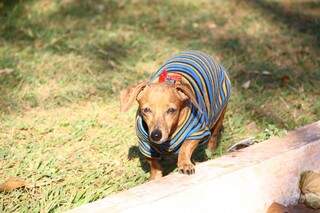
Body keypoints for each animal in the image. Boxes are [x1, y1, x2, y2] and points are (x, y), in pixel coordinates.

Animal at [119, 51, 230, 180]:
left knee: (214, 136)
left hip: (220, 112)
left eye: (171, 110)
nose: (156, 135)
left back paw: (210, 151)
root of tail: (200, 53)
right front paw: (155, 178)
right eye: (146, 110)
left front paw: (185, 164)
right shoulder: (145, 144)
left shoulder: (197, 132)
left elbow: (185, 147)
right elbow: (154, 164)